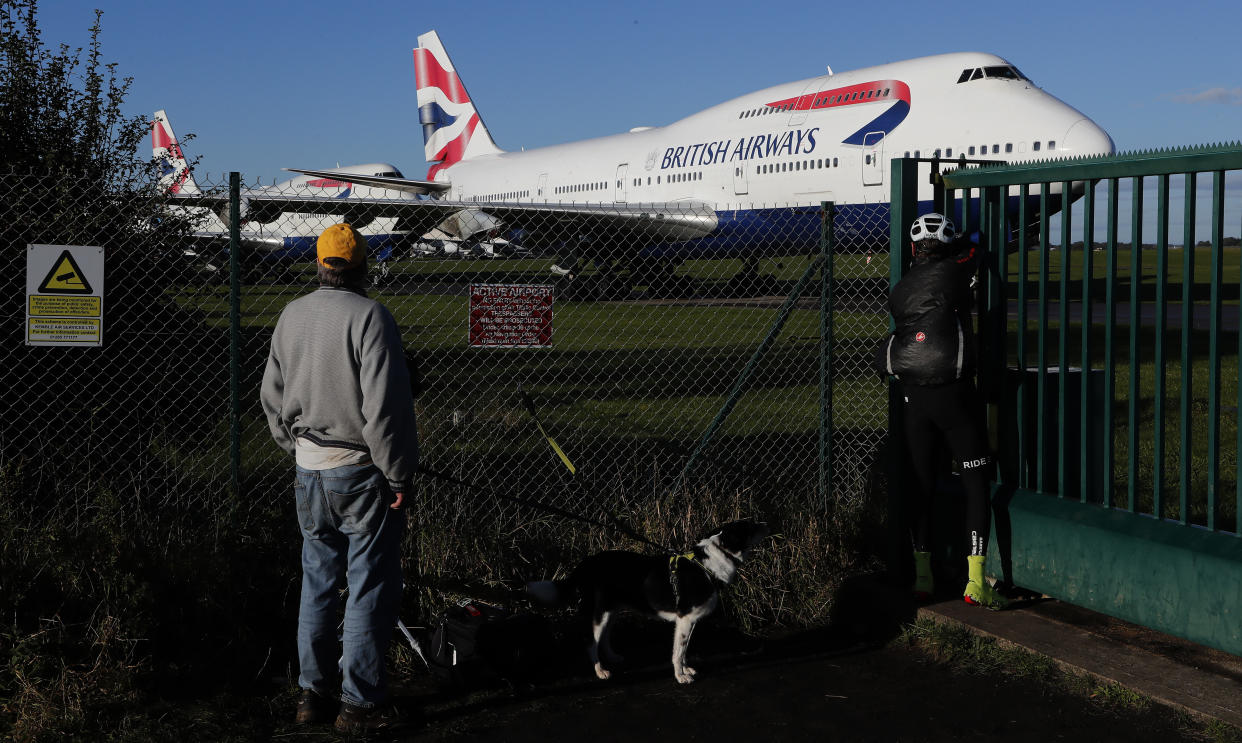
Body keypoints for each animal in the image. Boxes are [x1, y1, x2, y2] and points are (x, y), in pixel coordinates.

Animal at [524, 521, 765, 685]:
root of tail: (587, 563)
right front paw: (680, 676)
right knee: (591, 643)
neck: (707, 565)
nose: (765, 523)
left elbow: (684, 650)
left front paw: (686, 670)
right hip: (599, 613)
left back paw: (613, 657)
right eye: (750, 527)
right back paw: (600, 671)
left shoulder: (690, 621)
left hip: (611, 610)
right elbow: (678, 652)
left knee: (605, 638)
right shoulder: (685, 619)